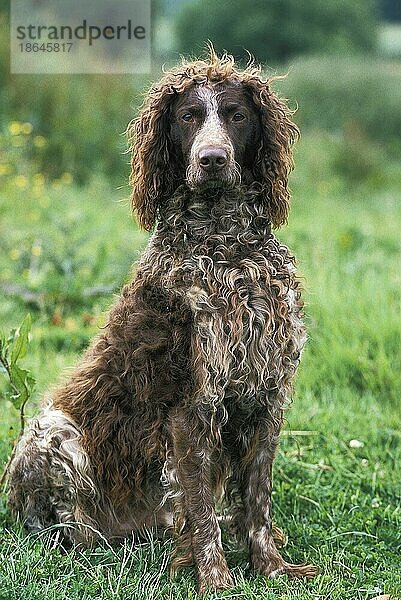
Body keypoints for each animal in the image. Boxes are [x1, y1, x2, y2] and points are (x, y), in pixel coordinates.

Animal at [7, 49, 318, 592]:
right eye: (188, 116)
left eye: (238, 115)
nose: (212, 159)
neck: (228, 251)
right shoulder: (191, 405)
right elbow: (201, 509)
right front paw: (215, 580)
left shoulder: (268, 395)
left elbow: (257, 501)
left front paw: (271, 568)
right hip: (49, 430)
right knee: (68, 528)